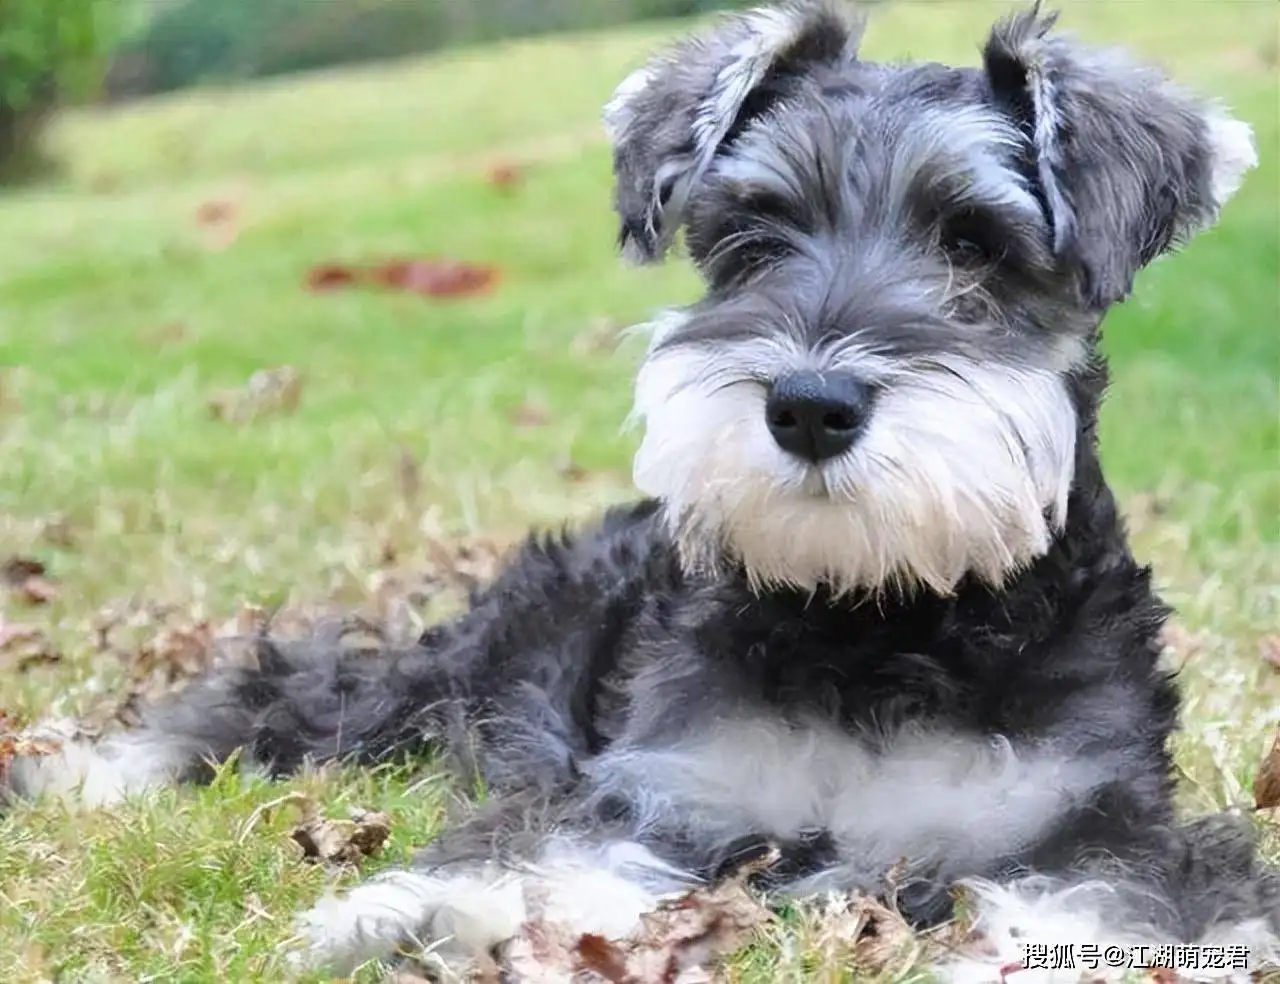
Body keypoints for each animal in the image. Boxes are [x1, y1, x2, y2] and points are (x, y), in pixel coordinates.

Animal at [5, 1, 1274, 982]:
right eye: (753, 236)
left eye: (973, 245)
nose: (807, 407)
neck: (878, 618)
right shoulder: (663, 790)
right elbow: (549, 858)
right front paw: (421, 919)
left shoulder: (1102, 827)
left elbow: (1099, 912)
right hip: (470, 668)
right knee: (286, 693)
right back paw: (91, 772)